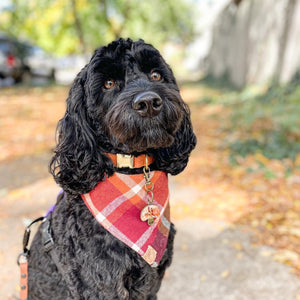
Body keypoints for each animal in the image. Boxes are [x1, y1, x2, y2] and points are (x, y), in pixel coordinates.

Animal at [27, 38, 197, 298]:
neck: (132, 173)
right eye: (108, 83)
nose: (149, 102)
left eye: (156, 75)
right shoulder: (101, 285)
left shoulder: (152, 282)